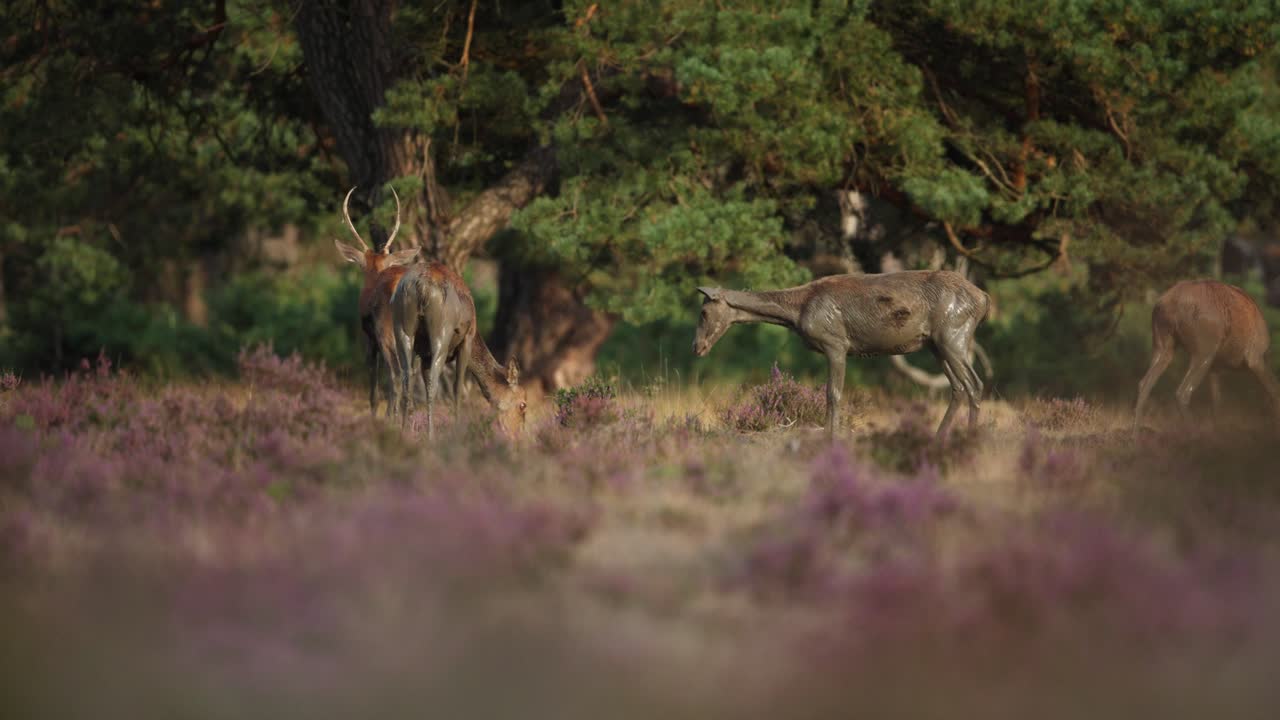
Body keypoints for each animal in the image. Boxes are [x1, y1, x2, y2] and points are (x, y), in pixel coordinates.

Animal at [332, 186, 425, 417]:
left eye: (361, 266)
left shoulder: (370, 338)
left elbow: (374, 380)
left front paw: (374, 414)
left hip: (387, 332)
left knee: (397, 373)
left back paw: (392, 416)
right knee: (412, 373)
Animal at [392, 261, 527, 439]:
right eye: (523, 404)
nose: (517, 435)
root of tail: (422, 286)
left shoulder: (423, 353)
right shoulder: (467, 339)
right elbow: (457, 388)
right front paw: (457, 430)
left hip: (401, 325)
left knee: (406, 377)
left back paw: (402, 432)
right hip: (442, 330)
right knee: (434, 382)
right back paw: (431, 436)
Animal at [693, 270, 990, 438]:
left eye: (704, 312)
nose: (697, 347)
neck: (797, 313)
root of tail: (984, 299)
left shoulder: (836, 343)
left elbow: (832, 394)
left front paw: (831, 437)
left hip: (953, 335)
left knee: (975, 384)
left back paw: (971, 438)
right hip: (935, 344)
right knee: (958, 387)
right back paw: (940, 437)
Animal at [1133, 279, 1280, 430]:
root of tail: (1168, 304)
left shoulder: (1216, 367)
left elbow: (1217, 401)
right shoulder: (1255, 356)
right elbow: (1274, 391)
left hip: (1162, 343)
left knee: (1144, 383)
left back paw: (1135, 434)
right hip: (1204, 349)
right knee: (1183, 392)